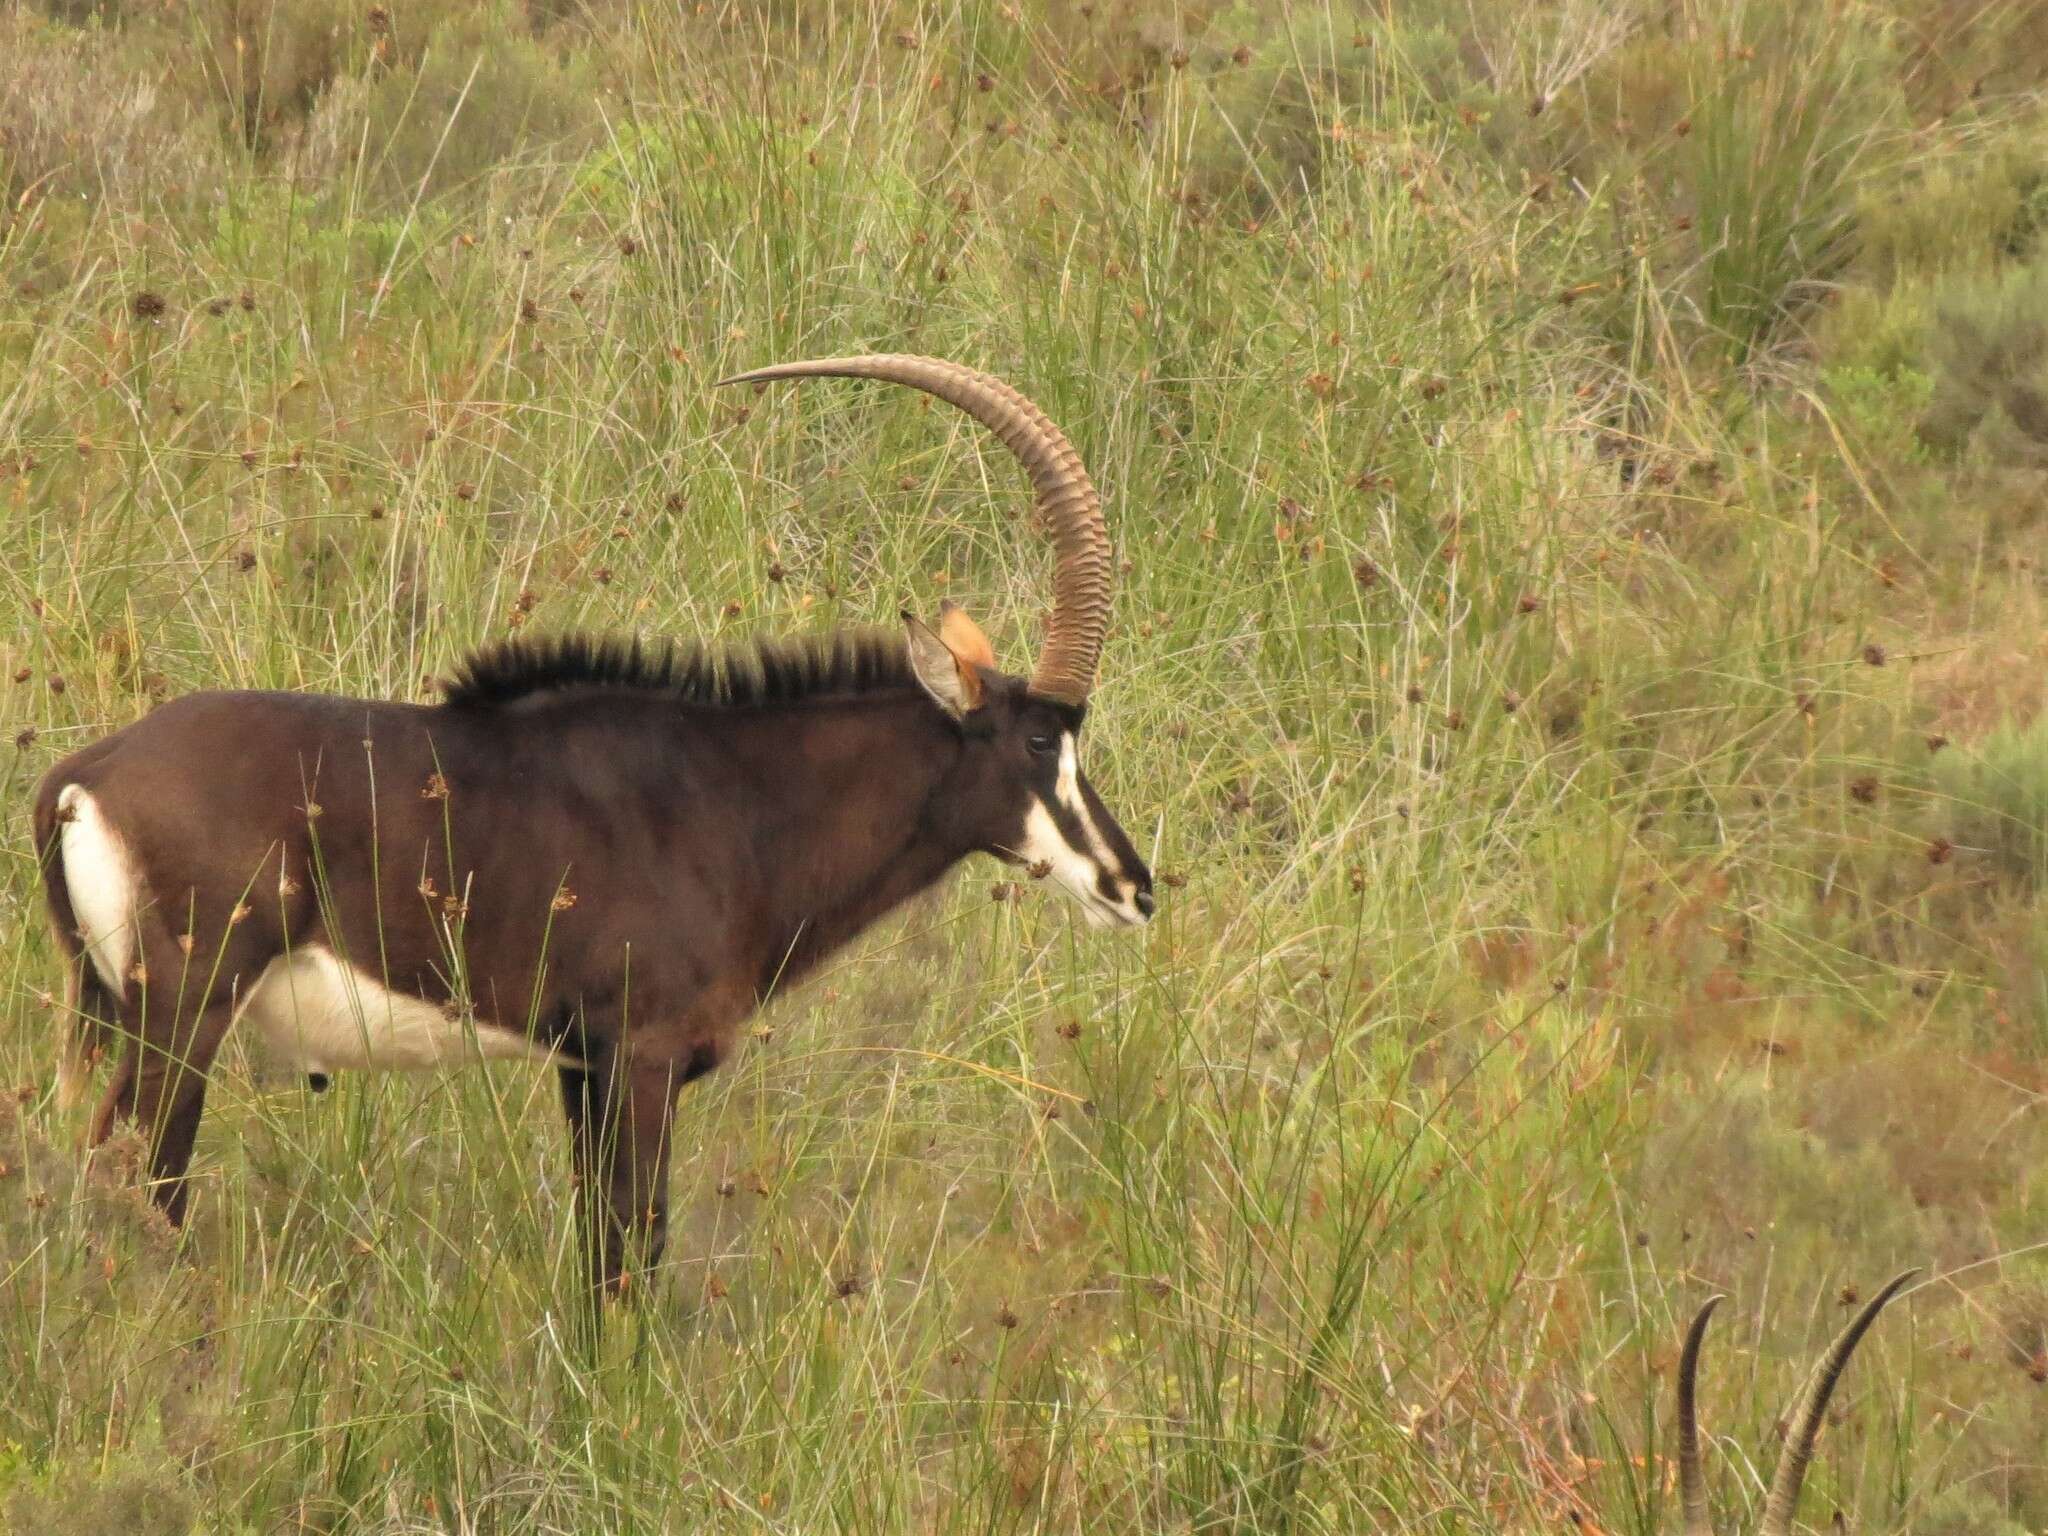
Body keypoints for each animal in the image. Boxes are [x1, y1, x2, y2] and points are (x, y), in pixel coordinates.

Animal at [36, 354, 1155, 1294]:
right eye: (1039, 742)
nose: (1132, 887)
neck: (732, 799)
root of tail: (84, 778)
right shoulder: (641, 1059)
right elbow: (631, 1257)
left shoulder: (582, 1067)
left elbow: (597, 1253)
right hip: (184, 1019)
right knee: (137, 1189)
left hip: (118, 1012)